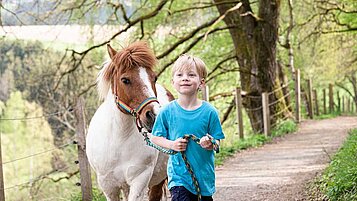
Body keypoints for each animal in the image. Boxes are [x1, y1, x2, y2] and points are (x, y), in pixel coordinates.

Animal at [87, 41, 175, 201]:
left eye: (154, 78)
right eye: (125, 80)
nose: (154, 115)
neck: (118, 140)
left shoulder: (139, 181)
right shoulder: (109, 187)